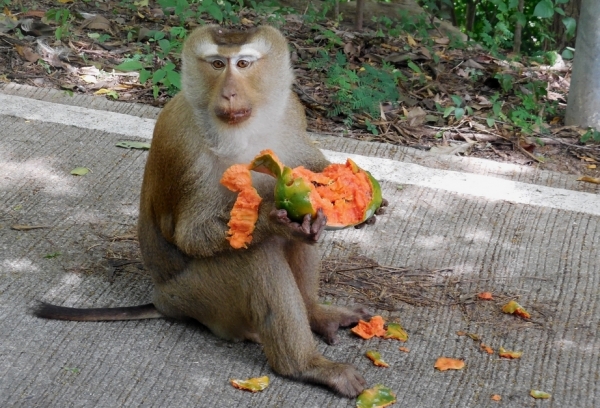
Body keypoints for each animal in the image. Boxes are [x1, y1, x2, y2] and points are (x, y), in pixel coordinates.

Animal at [35, 25, 384, 398]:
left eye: (243, 63)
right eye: (217, 64)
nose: (229, 93)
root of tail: (164, 301)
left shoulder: (291, 110)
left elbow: (307, 162)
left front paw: (347, 189)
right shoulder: (184, 140)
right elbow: (192, 234)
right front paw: (274, 216)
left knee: (299, 238)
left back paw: (316, 312)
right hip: (200, 298)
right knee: (253, 256)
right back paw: (303, 365)